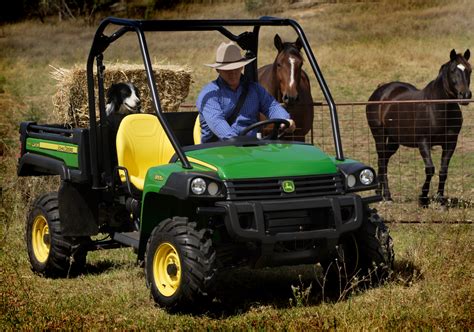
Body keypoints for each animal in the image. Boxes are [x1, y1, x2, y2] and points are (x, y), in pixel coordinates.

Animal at [366, 49, 470, 206]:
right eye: (453, 71)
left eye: (469, 70)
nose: (465, 95)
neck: (438, 108)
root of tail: (379, 91)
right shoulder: (423, 142)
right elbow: (430, 169)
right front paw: (423, 198)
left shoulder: (450, 143)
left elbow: (443, 171)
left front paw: (440, 200)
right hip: (379, 135)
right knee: (382, 160)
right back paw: (387, 196)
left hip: (394, 140)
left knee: (384, 159)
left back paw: (380, 193)